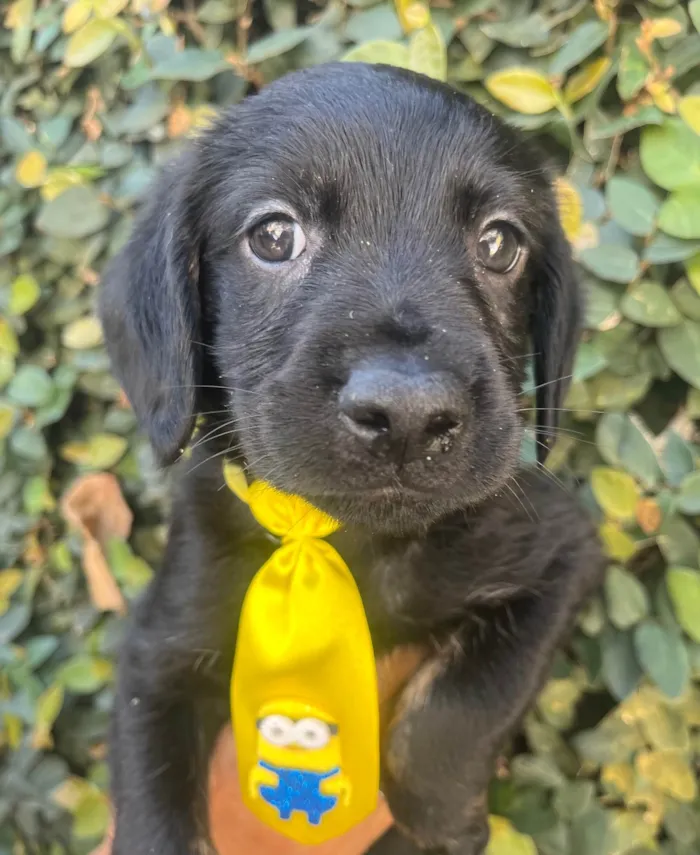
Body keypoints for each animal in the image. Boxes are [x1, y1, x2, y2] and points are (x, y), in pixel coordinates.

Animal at [98, 61, 600, 855]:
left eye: (500, 244)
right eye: (273, 235)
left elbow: (458, 712)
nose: (408, 415)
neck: (348, 540)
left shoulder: (562, 554)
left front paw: (439, 815)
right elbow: (152, 815)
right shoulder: (157, 652)